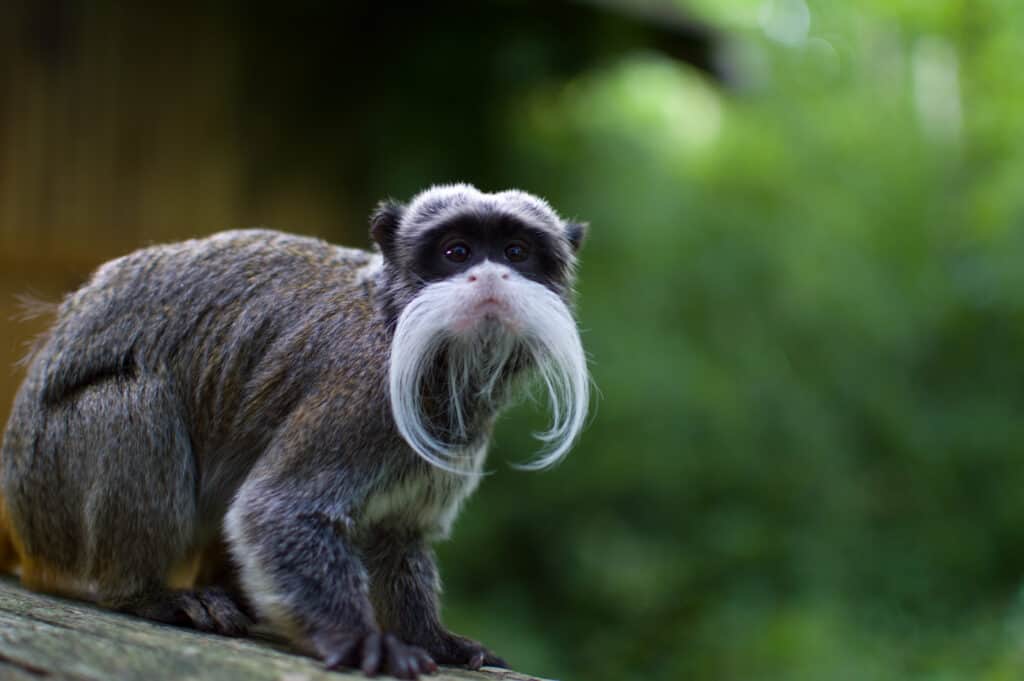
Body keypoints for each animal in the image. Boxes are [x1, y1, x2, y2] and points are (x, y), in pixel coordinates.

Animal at [0, 183, 589, 675]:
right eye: (457, 253)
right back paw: (144, 593)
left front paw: (432, 637)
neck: (401, 325)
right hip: (49, 483)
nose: (490, 277)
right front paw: (359, 641)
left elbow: (398, 535)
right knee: (137, 400)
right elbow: (277, 510)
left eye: (516, 253)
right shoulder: (361, 392)